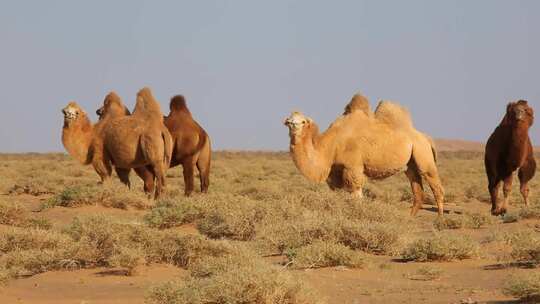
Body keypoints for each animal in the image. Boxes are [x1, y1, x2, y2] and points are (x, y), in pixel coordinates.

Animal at [284, 98, 446, 215]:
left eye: (303, 121)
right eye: (289, 121)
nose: (294, 125)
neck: (329, 145)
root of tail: (427, 138)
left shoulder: (353, 167)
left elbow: (356, 194)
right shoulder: (334, 172)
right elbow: (339, 194)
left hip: (423, 153)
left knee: (435, 185)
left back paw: (440, 219)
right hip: (410, 164)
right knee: (417, 190)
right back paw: (409, 218)